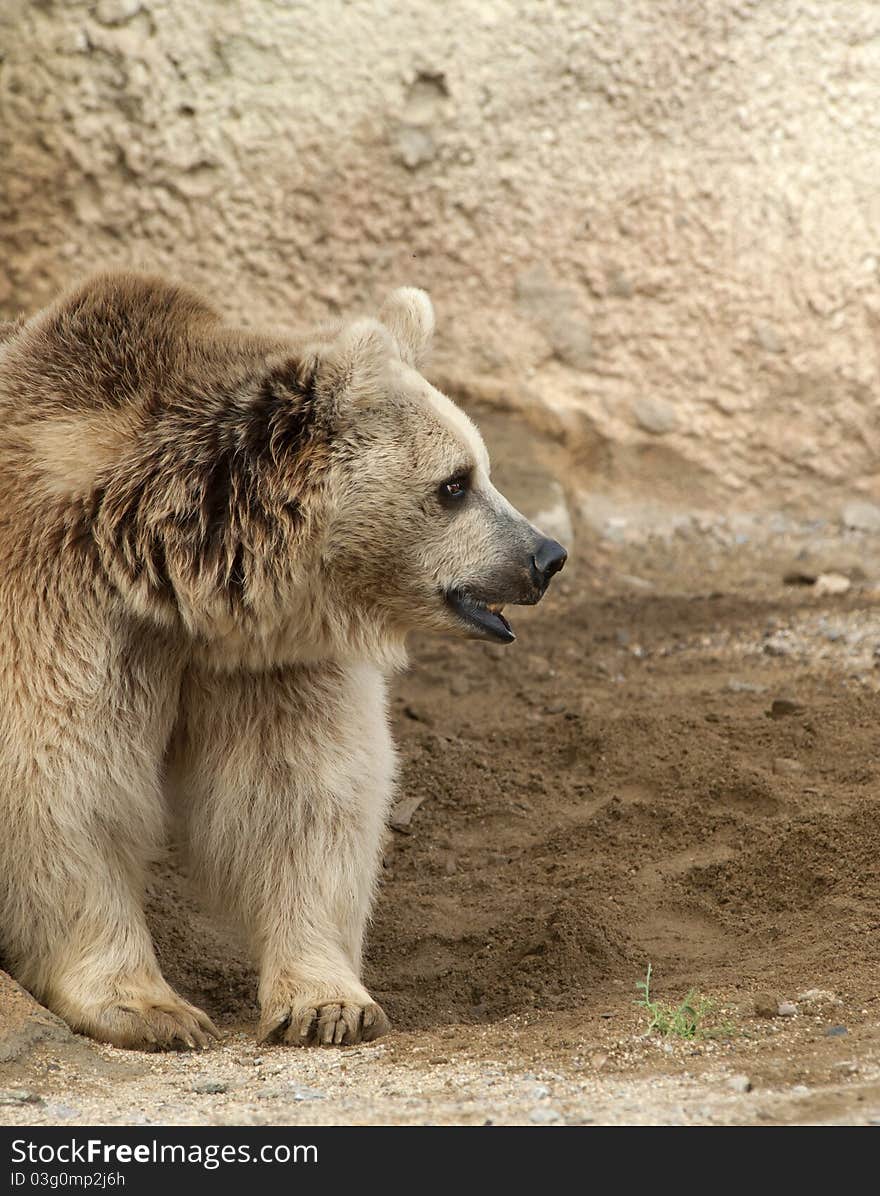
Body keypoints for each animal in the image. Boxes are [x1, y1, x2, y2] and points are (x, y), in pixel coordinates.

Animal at [0, 275, 564, 1052]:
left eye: (483, 469)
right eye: (456, 482)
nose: (545, 556)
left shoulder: (265, 660)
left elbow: (296, 792)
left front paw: (328, 1004)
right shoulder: (58, 607)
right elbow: (64, 784)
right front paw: (154, 1010)